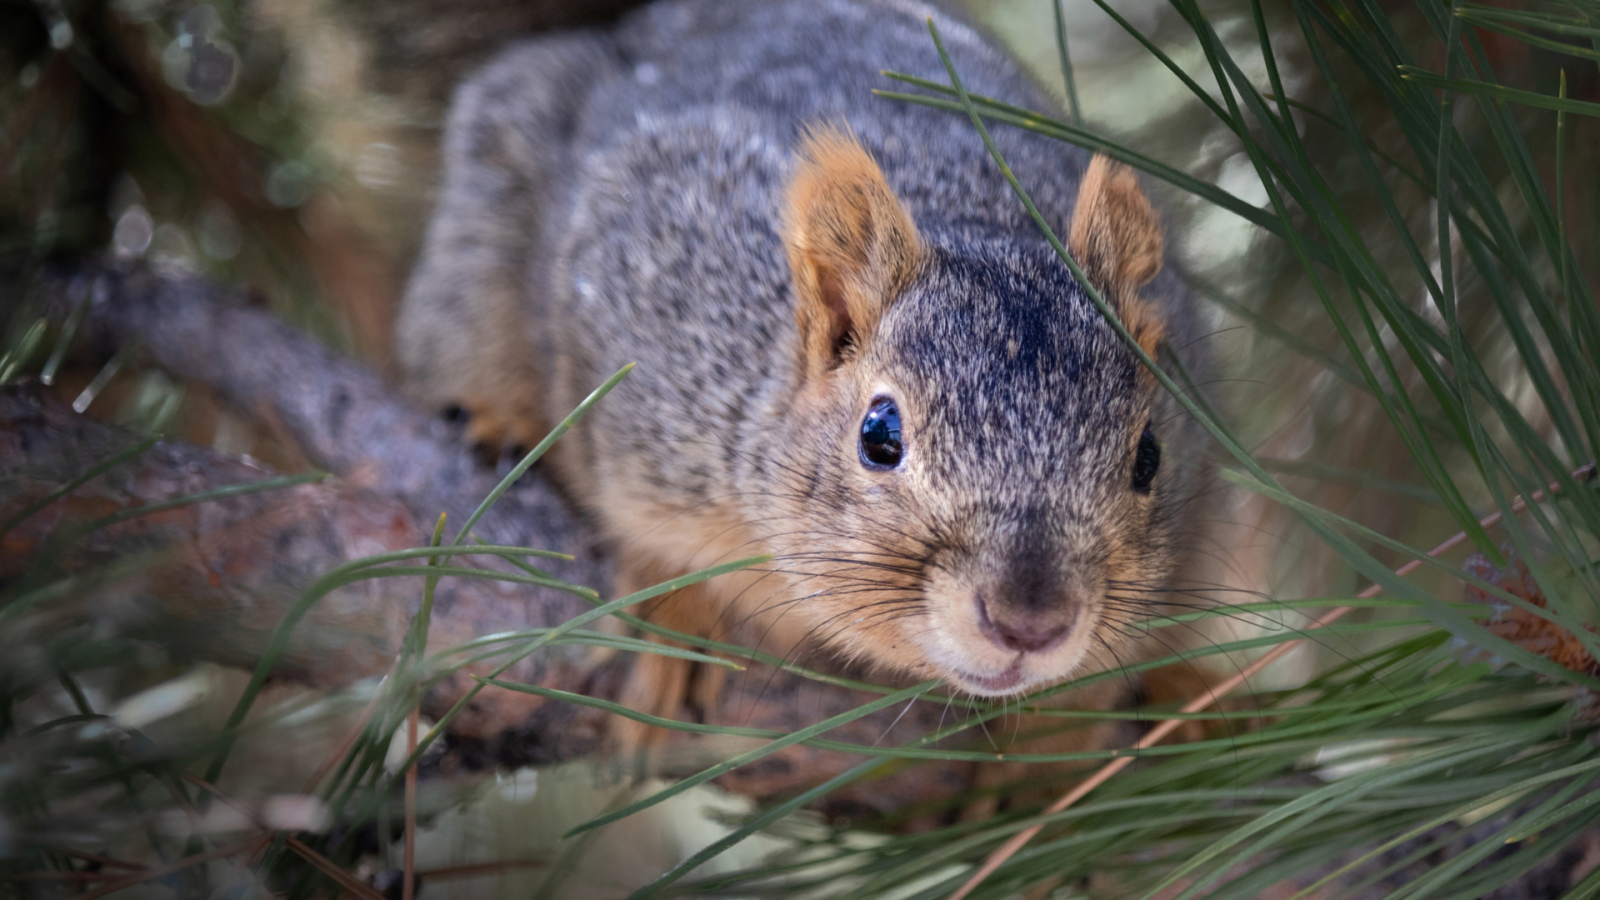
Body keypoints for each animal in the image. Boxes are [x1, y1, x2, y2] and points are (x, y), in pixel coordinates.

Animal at [396, 0, 1203, 746]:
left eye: (1150, 456)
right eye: (879, 435)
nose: (1029, 624)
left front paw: (1056, 737)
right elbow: (650, 538)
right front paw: (678, 623)